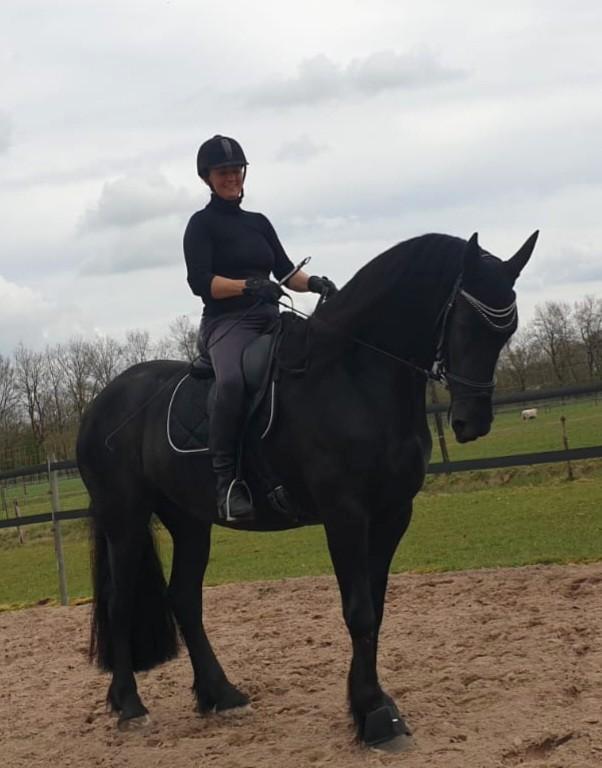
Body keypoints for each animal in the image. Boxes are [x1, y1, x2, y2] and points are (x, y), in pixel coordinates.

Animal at [77, 230, 537, 746]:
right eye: (465, 323)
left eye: (506, 330)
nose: (471, 423)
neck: (355, 375)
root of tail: (101, 403)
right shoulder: (345, 514)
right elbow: (358, 611)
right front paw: (374, 715)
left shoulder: (393, 513)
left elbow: (375, 608)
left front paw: (370, 705)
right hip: (125, 518)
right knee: (120, 602)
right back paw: (130, 706)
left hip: (190, 521)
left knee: (184, 599)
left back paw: (222, 695)